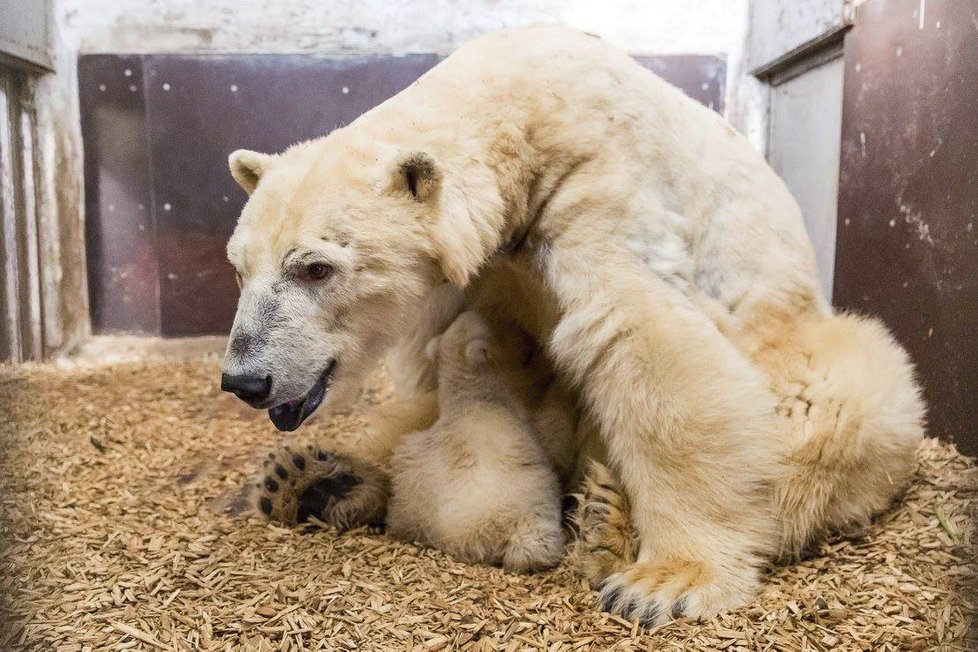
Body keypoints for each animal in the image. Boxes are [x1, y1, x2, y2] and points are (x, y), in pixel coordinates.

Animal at [221, 25, 924, 628]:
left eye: (315, 267)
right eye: (239, 267)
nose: (244, 380)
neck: (520, 106)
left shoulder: (600, 180)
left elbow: (642, 336)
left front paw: (668, 580)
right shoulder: (480, 269)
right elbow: (437, 373)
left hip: (799, 342)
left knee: (828, 410)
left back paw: (606, 523)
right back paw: (311, 478)